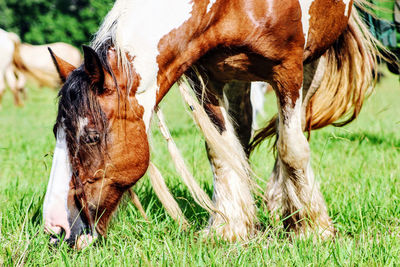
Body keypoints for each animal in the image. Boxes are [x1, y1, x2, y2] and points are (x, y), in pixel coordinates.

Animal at [43, 0, 378, 249]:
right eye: (56, 132)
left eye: (91, 136)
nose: (55, 227)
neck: (224, 8)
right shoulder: (205, 75)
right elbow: (220, 152)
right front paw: (229, 227)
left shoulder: (288, 69)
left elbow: (292, 149)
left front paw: (311, 228)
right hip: (239, 76)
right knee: (242, 136)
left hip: (312, 63)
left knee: (293, 133)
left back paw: (283, 204)